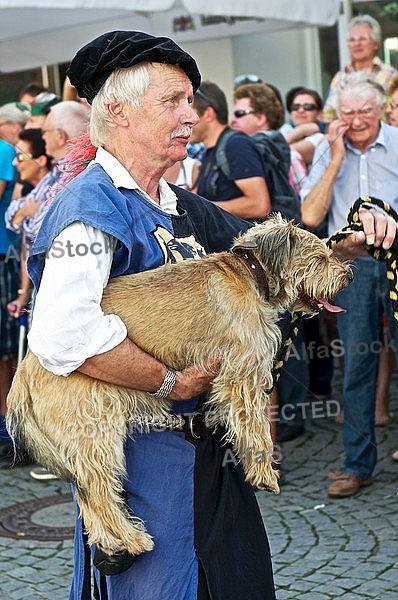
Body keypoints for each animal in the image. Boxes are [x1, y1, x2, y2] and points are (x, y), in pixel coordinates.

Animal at [6, 216, 352, 564]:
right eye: (319, 258)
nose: (348, 274)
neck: (249, 273)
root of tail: (25, 368)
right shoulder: (242, 378)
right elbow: (257, 431)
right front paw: (263, 473)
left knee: (88, 499)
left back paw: (115, 542)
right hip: (96, 434)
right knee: (99, 494)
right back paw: (132, 539)